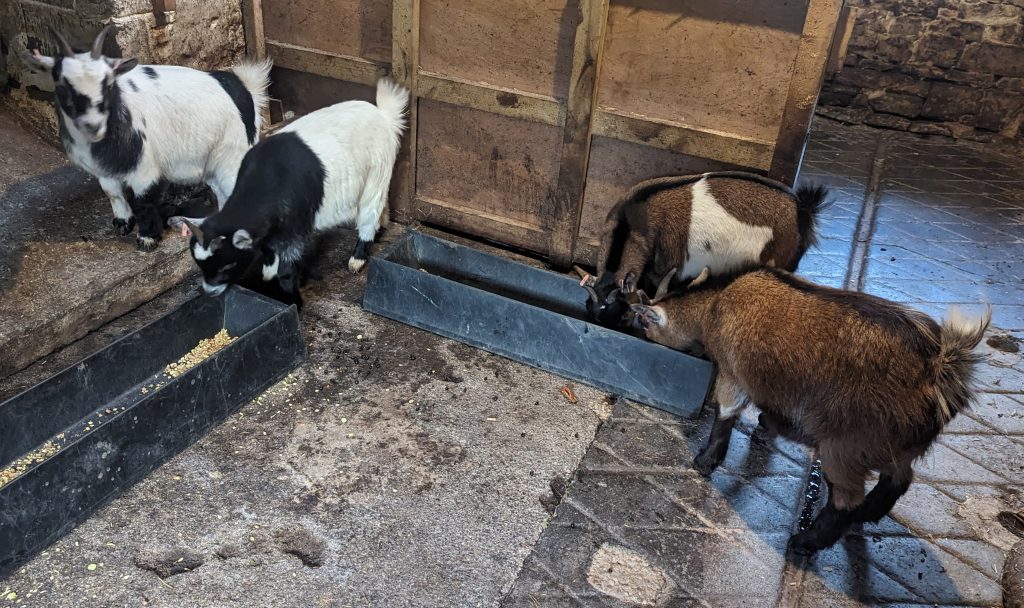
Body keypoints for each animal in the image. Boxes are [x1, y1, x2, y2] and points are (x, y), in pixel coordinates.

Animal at [24, 26, 272, 248]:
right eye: (61, 83)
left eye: (108, 84)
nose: (92, 124)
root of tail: (246, 89)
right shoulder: (102, 170)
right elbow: (112, 192)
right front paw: (123, 223)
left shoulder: (146, 168)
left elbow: (144, 200)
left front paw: (147, 238)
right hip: (212, 161)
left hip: (233, 154)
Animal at [630, 268, 991, 552]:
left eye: (647, 322)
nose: (638, 332)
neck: (715, 304)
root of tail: (938, 370)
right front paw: (766, 425)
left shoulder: (733, 372)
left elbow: (726, 412)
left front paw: (705, 461)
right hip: (895, 446)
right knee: (898, 480)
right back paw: (867, 514)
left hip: (847, 444)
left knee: (846, 497)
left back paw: (807, 542)